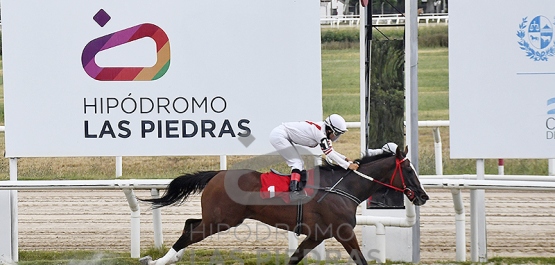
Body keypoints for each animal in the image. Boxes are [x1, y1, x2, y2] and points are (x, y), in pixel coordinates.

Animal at [138, 144, 430, 264]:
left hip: (218, 219)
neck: (343, 188)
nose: (423, 196)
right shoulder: (343, 232)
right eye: (410, 171)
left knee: (189, 225)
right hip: (221, 220)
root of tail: (216, 174)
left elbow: (295, 257)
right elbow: (360, 258)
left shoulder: (317, 235)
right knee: (189, 232)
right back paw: (157, 261)